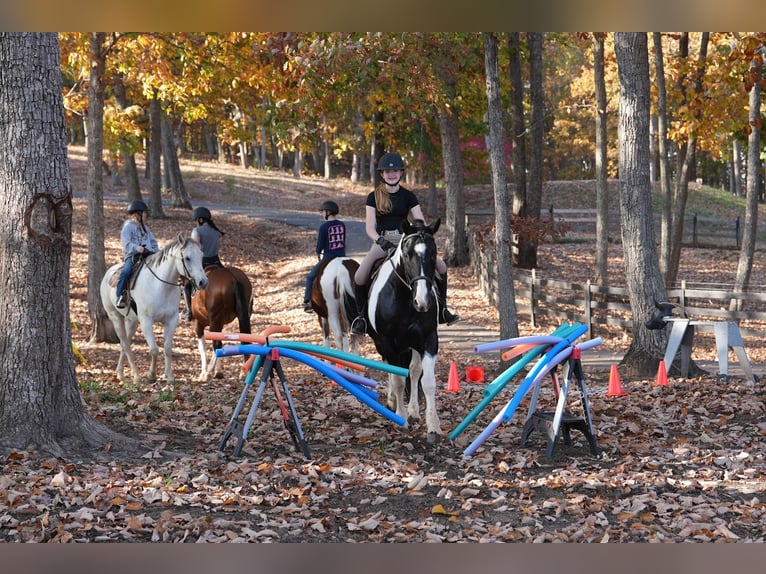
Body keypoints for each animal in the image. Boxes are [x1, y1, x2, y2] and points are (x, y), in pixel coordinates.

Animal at [100, 233, 209, 385]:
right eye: (187, 257)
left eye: (201, 255)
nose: (203, 282)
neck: (161, 286)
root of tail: (107, 274)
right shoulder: (146, 321)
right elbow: (154, 349)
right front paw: (151, 375)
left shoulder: (171, 320)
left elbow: (167, 348)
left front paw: (170, 377)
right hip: (116, 317)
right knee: (125, 344)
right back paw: (136, 376)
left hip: (132, 321)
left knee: (124, 343)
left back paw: (120, 374)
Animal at [365, 218, 442, 444]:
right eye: (408, 254)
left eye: (433, 253)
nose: (422, 302)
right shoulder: (388, 343)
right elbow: (398, 381)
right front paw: (401, 420)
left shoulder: (428, 341)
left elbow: (427, 381)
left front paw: (433, 427)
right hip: (382, 344)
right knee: (391, 369)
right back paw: (393, 402)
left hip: (413, 345)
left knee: (414, 371)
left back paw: (413, 411)